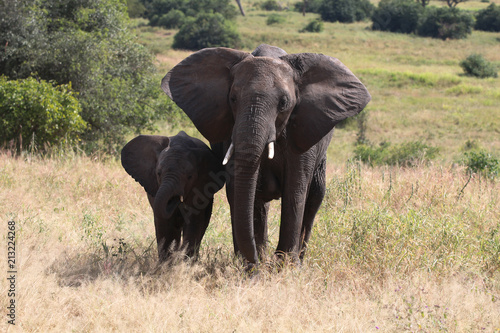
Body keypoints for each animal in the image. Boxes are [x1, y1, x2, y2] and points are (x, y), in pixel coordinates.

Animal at [121, 131, 225, 260]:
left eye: (190, 176)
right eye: (158, 173)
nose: (178, 199)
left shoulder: (200, 185)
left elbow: (194, 222)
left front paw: (186, 262)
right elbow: (165, 224)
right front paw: (167, 263)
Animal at [162, 44, 370, 268]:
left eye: (284, 103)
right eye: (233, 99)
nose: (256, 265)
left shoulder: (301, 133)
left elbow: (295, 190)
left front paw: (285, 266)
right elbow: (238, 191)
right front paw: (250, 266)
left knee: (315, 195)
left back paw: (297, 260)